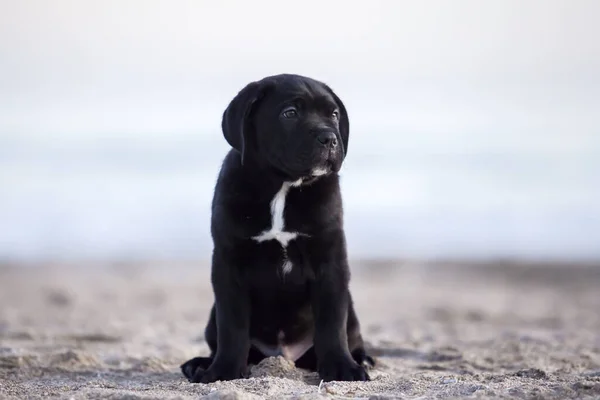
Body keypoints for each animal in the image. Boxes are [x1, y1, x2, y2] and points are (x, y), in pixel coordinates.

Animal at [180, 73, 372, 382]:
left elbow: (332, 323)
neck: (282, 186)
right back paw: (200, 363)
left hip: (351, 312)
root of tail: (285, 355)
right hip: (212, 317)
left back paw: (361, 359)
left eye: (333, 114)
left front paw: (342, 368)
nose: (330, 138)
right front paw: (223, 371)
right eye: (290, 113)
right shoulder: (228, 264)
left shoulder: (330, 262)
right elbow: (232, 327)